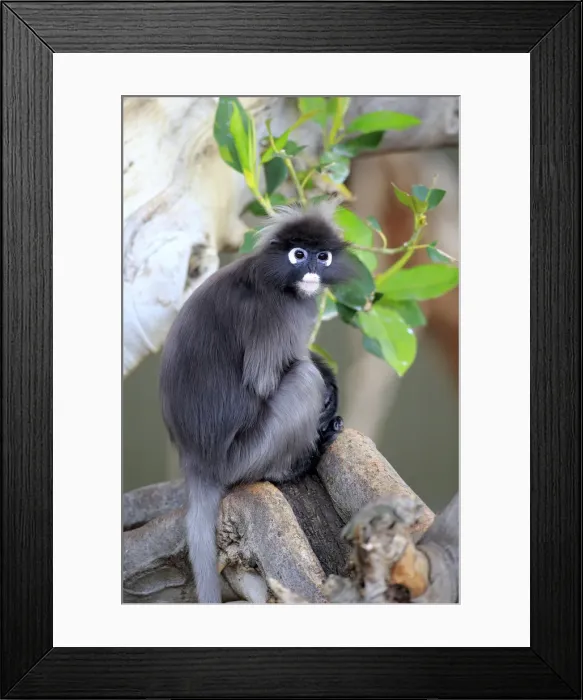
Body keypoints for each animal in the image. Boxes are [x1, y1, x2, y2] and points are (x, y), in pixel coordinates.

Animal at [159, 202, 355, 603]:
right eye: (298, 254)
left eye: (323, 256)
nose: (311, 270)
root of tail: (196, 463)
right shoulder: (277, 312)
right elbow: (267, 380)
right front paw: (327, 395)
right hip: (245, 456)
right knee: (302, 379)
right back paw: (294, 465)